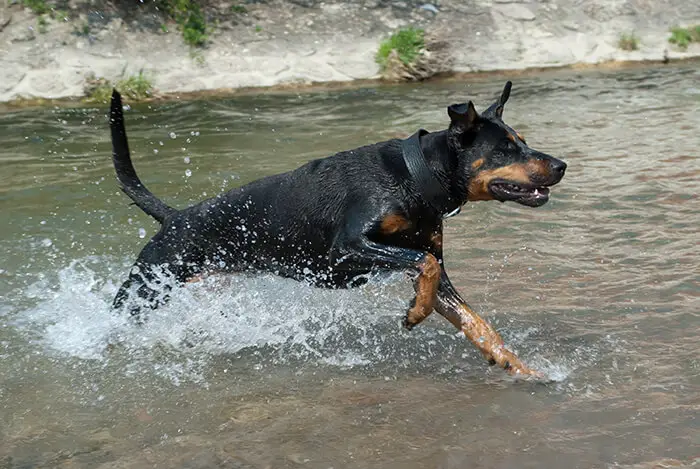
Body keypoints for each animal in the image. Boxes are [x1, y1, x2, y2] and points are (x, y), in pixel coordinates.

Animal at [110, 82, 568, 376]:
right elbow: (423, 264)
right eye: (505, 148)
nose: (562, 164)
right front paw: (414, 314)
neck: (415, 178)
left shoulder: (431, 265)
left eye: (522, 140)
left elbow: (473, 319)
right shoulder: (346, 249)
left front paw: (518, 365)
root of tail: (175, 216)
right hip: (144, 288)